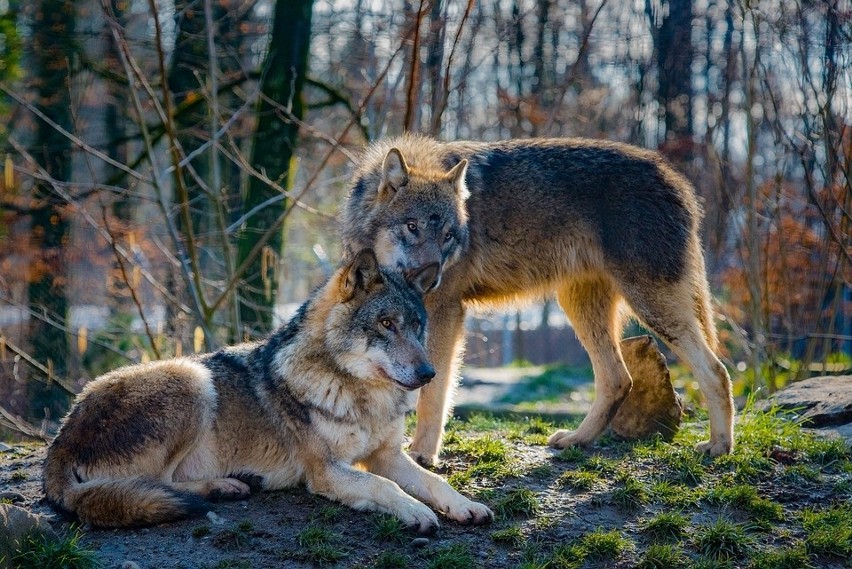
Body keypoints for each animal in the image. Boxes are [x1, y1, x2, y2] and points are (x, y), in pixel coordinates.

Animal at [43, 251, 492, 532]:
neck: (362, 397)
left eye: (416, 326)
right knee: (157, 484)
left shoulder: (387, 455)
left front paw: (464, 505)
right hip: (192, 378)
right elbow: (386, 487)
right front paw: (416, 512)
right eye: (385, 324)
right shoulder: (326, 471)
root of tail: (61, 438)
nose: (429, 373)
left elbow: (434, 482)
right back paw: (224, 487)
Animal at [342, 134, 736, 466]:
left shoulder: (444, 312)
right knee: (618, 378)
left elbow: (433, 391)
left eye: (449, 236)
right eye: (412, 227)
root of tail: (679, 181)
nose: (432, 277)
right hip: (581, 306)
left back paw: (719, 446)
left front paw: (422, 454)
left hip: (651, 306)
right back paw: (577, 439)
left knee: (716, 370)